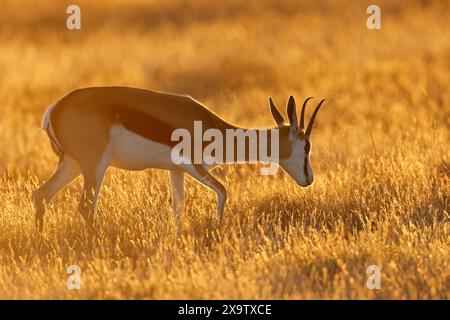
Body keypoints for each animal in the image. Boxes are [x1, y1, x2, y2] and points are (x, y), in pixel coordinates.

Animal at [33, 87, 326, 232]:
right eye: (307, 145)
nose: (309, 179)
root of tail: (54, 109)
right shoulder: (194, 166)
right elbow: (223, 191)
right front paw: (216, 230)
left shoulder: (176, 171)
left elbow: (178, 208)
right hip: (95, 166)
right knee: (85, 206)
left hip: (72, 165)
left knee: (40, 196)